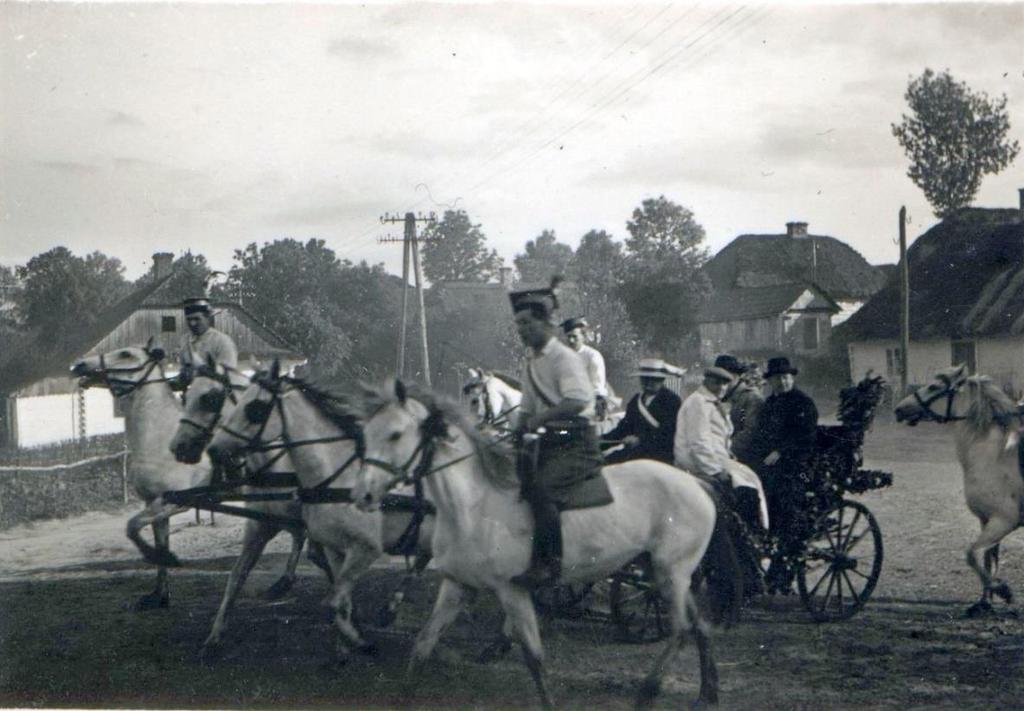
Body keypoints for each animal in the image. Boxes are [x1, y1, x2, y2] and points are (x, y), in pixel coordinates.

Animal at [71, 342, 210, 610]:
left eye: (126, 354)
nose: (78, 365)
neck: (162, 439)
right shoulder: (153, 503)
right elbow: (159, 538)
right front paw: (160, 596)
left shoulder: (175, 502)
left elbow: (132, 527)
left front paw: (167, 558)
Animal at [165, 358, 329, 659]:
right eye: (186, 395)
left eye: (209, 399)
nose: (178, 447)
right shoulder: (258, 525)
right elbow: (237, 575)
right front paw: (214, 636)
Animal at [205, 364, 434, 663]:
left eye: (254, 408)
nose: (213, 449)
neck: (337, 478)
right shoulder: (320, 544)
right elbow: (338, 599)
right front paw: (343, 647)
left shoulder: (365, 549)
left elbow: (336, 596)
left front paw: (356, 641)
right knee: (421, 561)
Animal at [352, 381, 737, 708]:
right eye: (367, 432)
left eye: (396, 434)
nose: (362, 495)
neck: (475, 504)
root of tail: (696, 483)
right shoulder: (456, 585)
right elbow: (422, 645)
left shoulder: (513, 590)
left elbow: (535, 659)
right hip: (664, 571)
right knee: (700, 627)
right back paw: (708, 694)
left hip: (671, 573)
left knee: (681, 630)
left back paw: (648, 691)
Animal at [892, 366, 1019, 618]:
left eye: (933, 387)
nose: (899, 409)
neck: (994, 456)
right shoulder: (987, 521)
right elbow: (988, 560)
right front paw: (984, 602)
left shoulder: (1003, 521)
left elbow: (972, 555)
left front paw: (1002, 590)